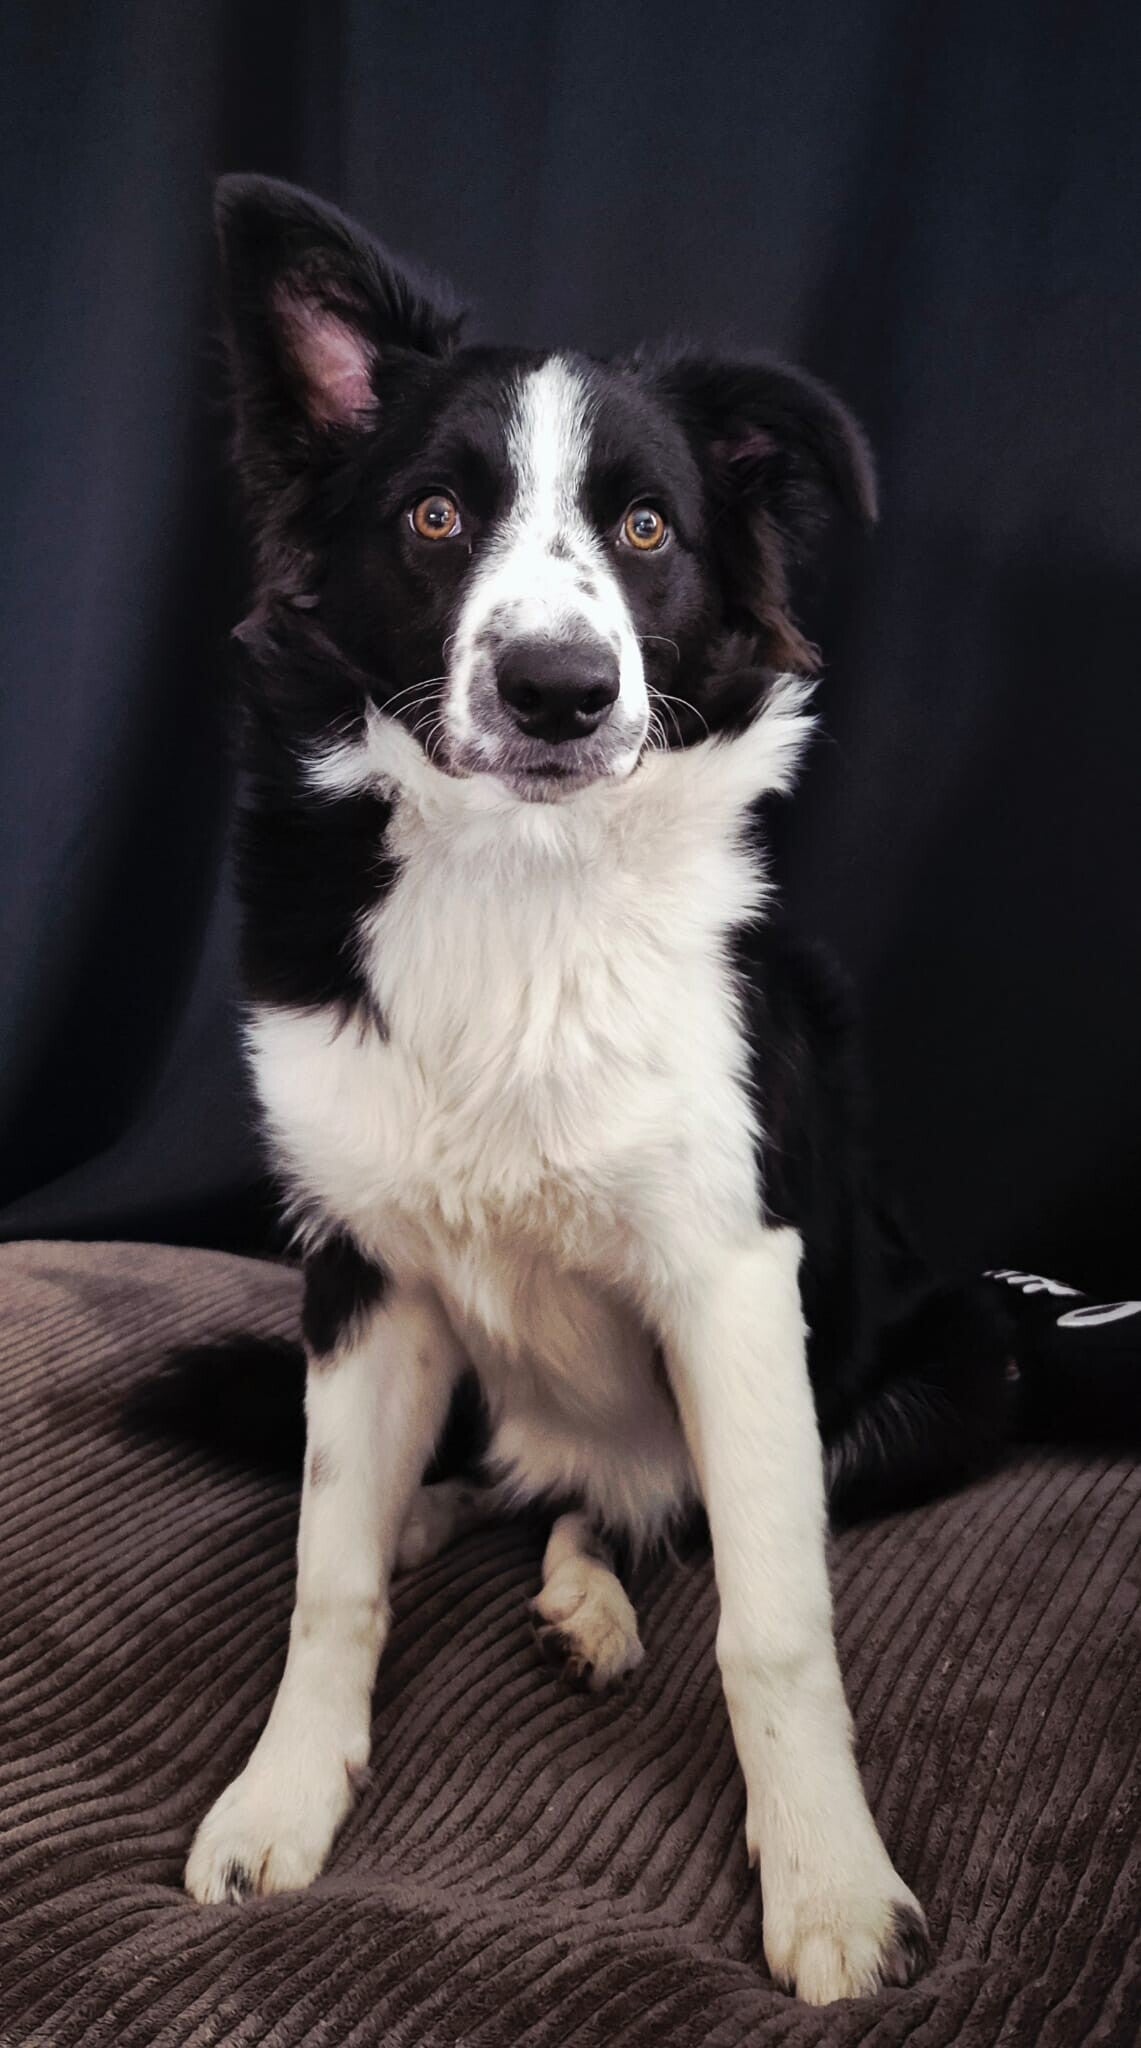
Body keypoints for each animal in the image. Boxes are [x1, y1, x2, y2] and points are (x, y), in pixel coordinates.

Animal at [182, 175, 1115, 2005]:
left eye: (646, 531)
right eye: (435, 516)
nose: (559, 690)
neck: (521, 877)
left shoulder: (735, 1280)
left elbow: (773, 1621)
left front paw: (828, 1882)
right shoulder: (360, 1270)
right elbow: (326, 1577)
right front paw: (283, 1793)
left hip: (952, 1360)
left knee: (650, 1518)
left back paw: (593, 1590)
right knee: (505, 1489)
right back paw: (463, 1526)